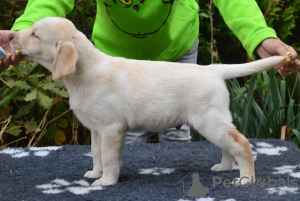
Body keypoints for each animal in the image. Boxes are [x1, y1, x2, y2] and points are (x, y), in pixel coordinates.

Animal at [8, 17, 288, 187]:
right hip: (214, 121)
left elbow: (109, 157)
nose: (9, 35)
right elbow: (97, 154)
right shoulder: (97, 130)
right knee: (228, 145)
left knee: (241, 143)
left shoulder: (111, 129)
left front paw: (106, 182)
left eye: (35, 34)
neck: (85, 71)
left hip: (209, 120)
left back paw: (245, 178)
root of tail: (213, 70)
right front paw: (96, 173)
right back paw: (224, 167)